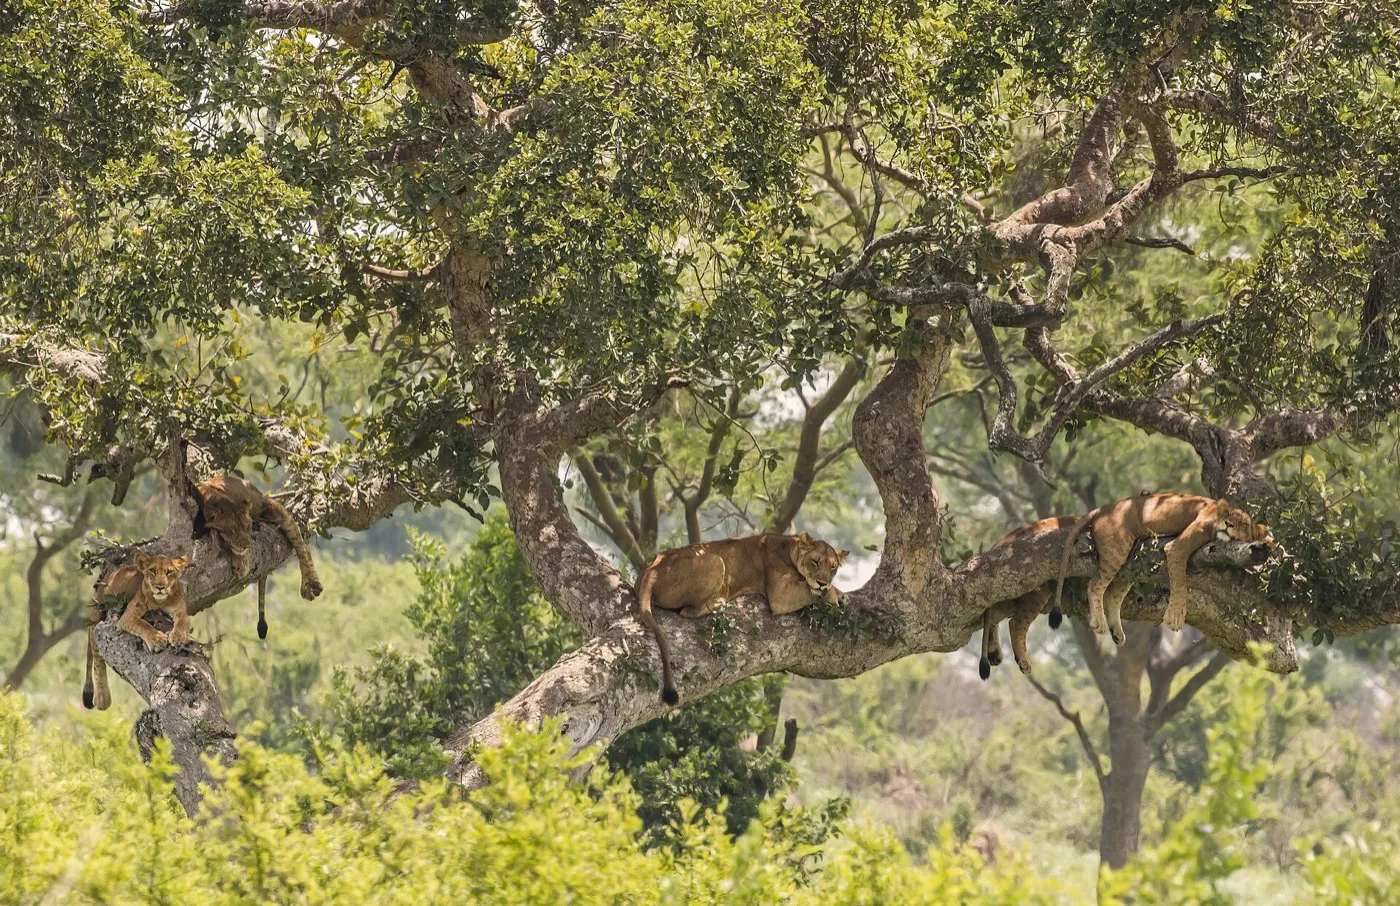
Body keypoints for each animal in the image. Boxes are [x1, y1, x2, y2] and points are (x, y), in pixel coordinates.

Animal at [83, 553, 191, 710]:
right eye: (152, 570)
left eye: (169, 572)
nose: (160, 587)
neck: (160, 601)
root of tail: (109, 574)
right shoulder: (128, 616)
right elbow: (143, 625)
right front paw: (157, 640)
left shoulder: (181, 610)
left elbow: (183, 622)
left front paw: (178, 638)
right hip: (97, 614)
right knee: (96, 656)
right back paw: (103, 698)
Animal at [193, 474, 323, 638]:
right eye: (233, 530)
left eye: (246, 526)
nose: (246, 545)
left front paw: (242, 564)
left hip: (274, 507)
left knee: (302, 545)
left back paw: (311, 584)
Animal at [636, 532, 849, 705]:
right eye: (815, 562)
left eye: (833, 567)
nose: (822, 581)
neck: (791, 547)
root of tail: (651, 569)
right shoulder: (780, 595)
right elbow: (813, 590)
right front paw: (832, 595)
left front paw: (841, 594)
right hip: (715, 560)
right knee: (687, 611)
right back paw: (720, 602)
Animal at [1054, 493, 1275, 644]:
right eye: (1228, 515)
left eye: (1243, 523)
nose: (1228, 524)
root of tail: (1103, 508)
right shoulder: (1177, 547)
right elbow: (1180, 582)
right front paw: (1176, 616)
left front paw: (1270, 543)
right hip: (1116, 550)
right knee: (1094, 585)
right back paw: (1099, 622)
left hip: (1128, 563)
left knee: (1111, 595)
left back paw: (1116, 633)